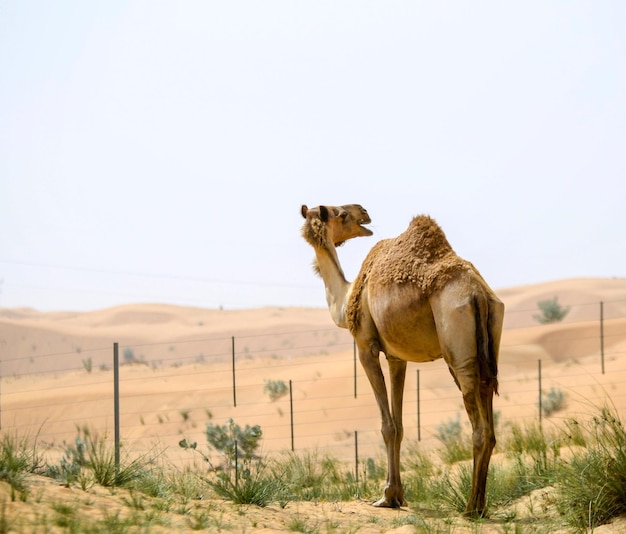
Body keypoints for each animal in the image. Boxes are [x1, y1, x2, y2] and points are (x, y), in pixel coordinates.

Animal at [298, 205, 502, 520]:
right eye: (341, 212)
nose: (364, 212)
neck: (344, 300)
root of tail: (478, 294)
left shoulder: (365, 346)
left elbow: (387, 426)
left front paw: (386, 496)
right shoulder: (397, 357)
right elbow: (400, 425)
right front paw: (397, 495)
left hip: (459, 350)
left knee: (478, 427)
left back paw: (470, 508)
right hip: (490, 341)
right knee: (489, 418)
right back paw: (480, 506)